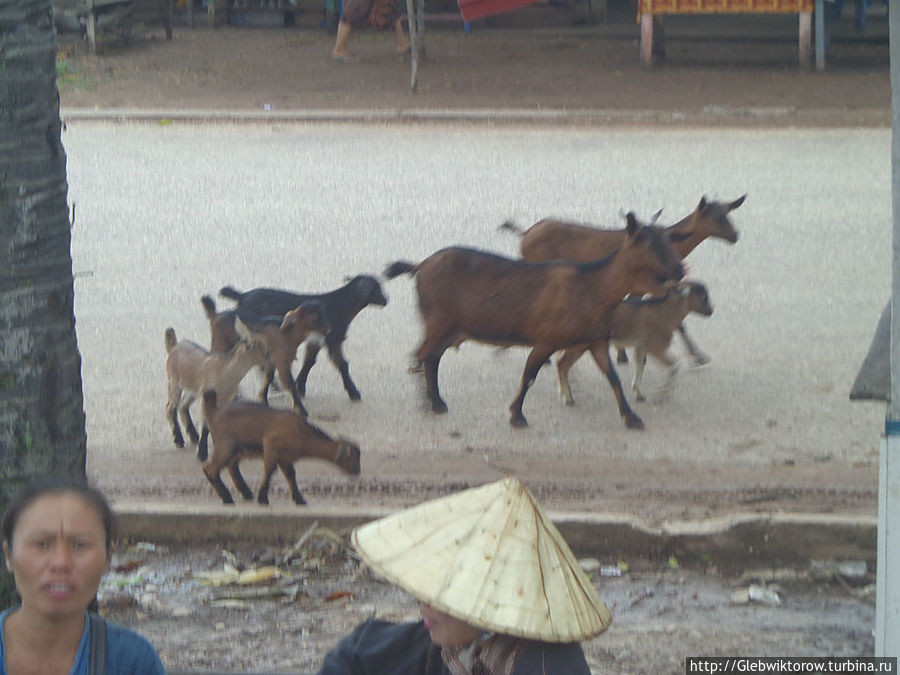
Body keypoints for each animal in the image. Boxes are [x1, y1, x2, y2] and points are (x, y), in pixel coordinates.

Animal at [163, 330, 268, 462]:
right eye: (262, 349)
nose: (270, 360)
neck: (225, 371)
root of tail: (174, 347)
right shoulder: (206, 397)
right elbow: (205, 425)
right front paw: (202, 454)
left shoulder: (225, 399)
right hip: (174, 382)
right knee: (170, 407)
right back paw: (178, 441)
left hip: (192, 389)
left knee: (182, 405)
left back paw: (193, 437)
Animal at [202, 388, 360, 504]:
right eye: (353, 458)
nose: (357, 472)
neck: (302, 433)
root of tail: (214, 412)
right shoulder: (271, 449)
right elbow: (270, 471)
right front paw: (263, 498)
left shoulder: (286, 458)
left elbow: (291, 475)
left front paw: (299, 499)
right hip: (226, 446)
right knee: (210, 469)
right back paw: (227, 498)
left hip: (238, 450)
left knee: (231, 467)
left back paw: (245, 494)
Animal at [384, 214, 684, 430]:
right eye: (651, 244)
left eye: (668, 241)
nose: (679, 270)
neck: (593, 289)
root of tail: (419, 266)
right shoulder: (547, 338)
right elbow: (529, 375)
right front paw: (516, 415)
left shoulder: (596, 340)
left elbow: (613, 378)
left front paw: (631, 417)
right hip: (438, 320)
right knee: (425, 354)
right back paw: (430, 402)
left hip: (452, 327)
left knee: (431, 357)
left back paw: (435, 401)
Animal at [560, 282, 712, 406]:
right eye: (703, 297)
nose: (711, 311)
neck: (664, 314)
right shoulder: (655, 347)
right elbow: (674, 366)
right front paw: (661, 396)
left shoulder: (641, 347)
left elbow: (640, 365)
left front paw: (639, 394)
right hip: (579, 345)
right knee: (562, 364)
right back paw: (568, 399)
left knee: (561, 364)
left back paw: (564, 393)